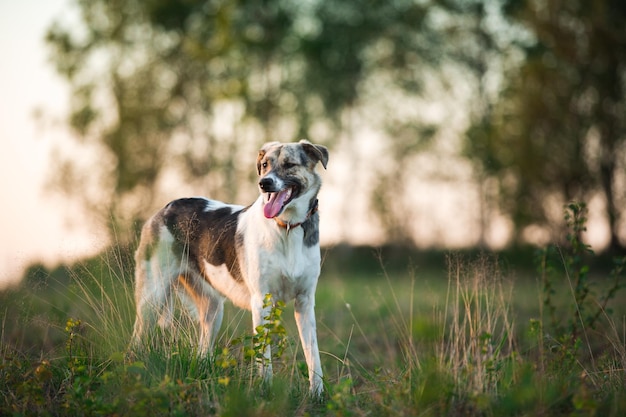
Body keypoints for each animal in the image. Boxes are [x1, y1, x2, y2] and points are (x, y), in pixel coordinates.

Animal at [130, 139, 330, 394]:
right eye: (265, 165)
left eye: (289, 164)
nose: (264, 184)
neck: (287, 226)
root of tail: (167, 207)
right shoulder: (261, 301)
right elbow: (264, 355)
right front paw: (265, 389)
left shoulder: (305, 303)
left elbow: (313, 354)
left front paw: (317, 394)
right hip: (152, 297)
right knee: (137, 337)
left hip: (212, 309)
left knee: (203, 350)